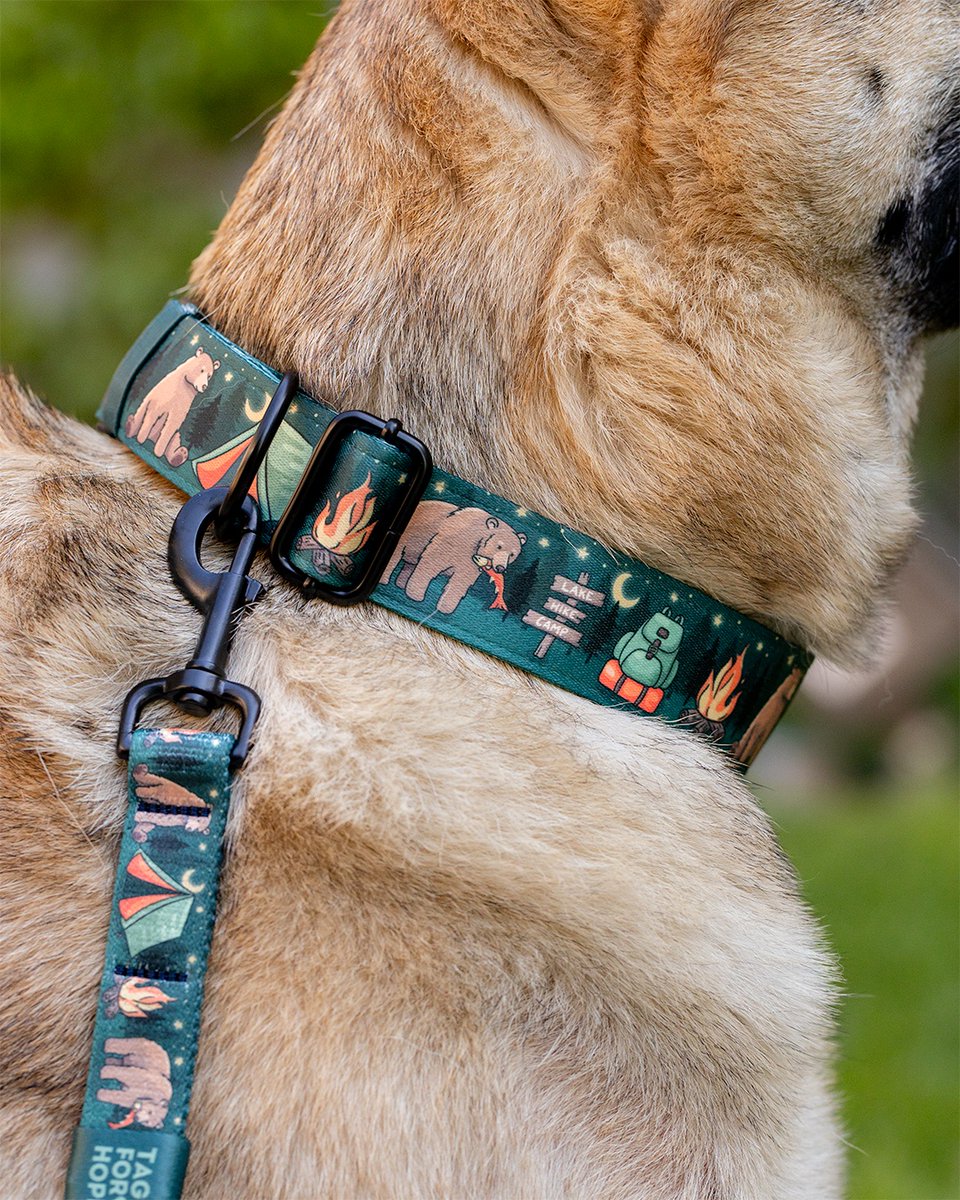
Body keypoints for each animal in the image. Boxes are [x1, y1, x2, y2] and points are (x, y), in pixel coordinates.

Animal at [382, 501, 526, 615]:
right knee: (395, 556)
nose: (500, 568)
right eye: (499, 546)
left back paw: (400, 584)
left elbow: (461, 580)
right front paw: (415, 595)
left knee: (410, 563)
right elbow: (431, 564)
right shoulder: (451, 542)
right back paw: (385, 580)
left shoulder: (469, 562)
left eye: (512, 554)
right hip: (409, 534)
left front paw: (445, 608)